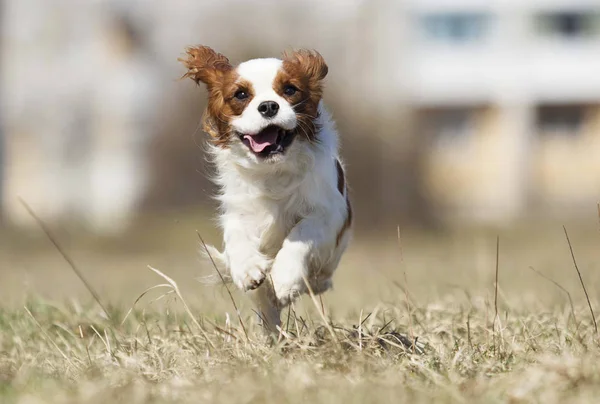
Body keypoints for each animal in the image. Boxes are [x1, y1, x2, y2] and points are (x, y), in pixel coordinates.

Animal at [180, 45, 354, 332]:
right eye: (241, 94)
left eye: (290, 89)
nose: (269, 106)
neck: (272, 171)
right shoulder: (239, 211)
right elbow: (236, 236)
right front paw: (248, 269)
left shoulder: (328, 212)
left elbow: (300, 233)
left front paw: (284, 278)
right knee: (267, 307)